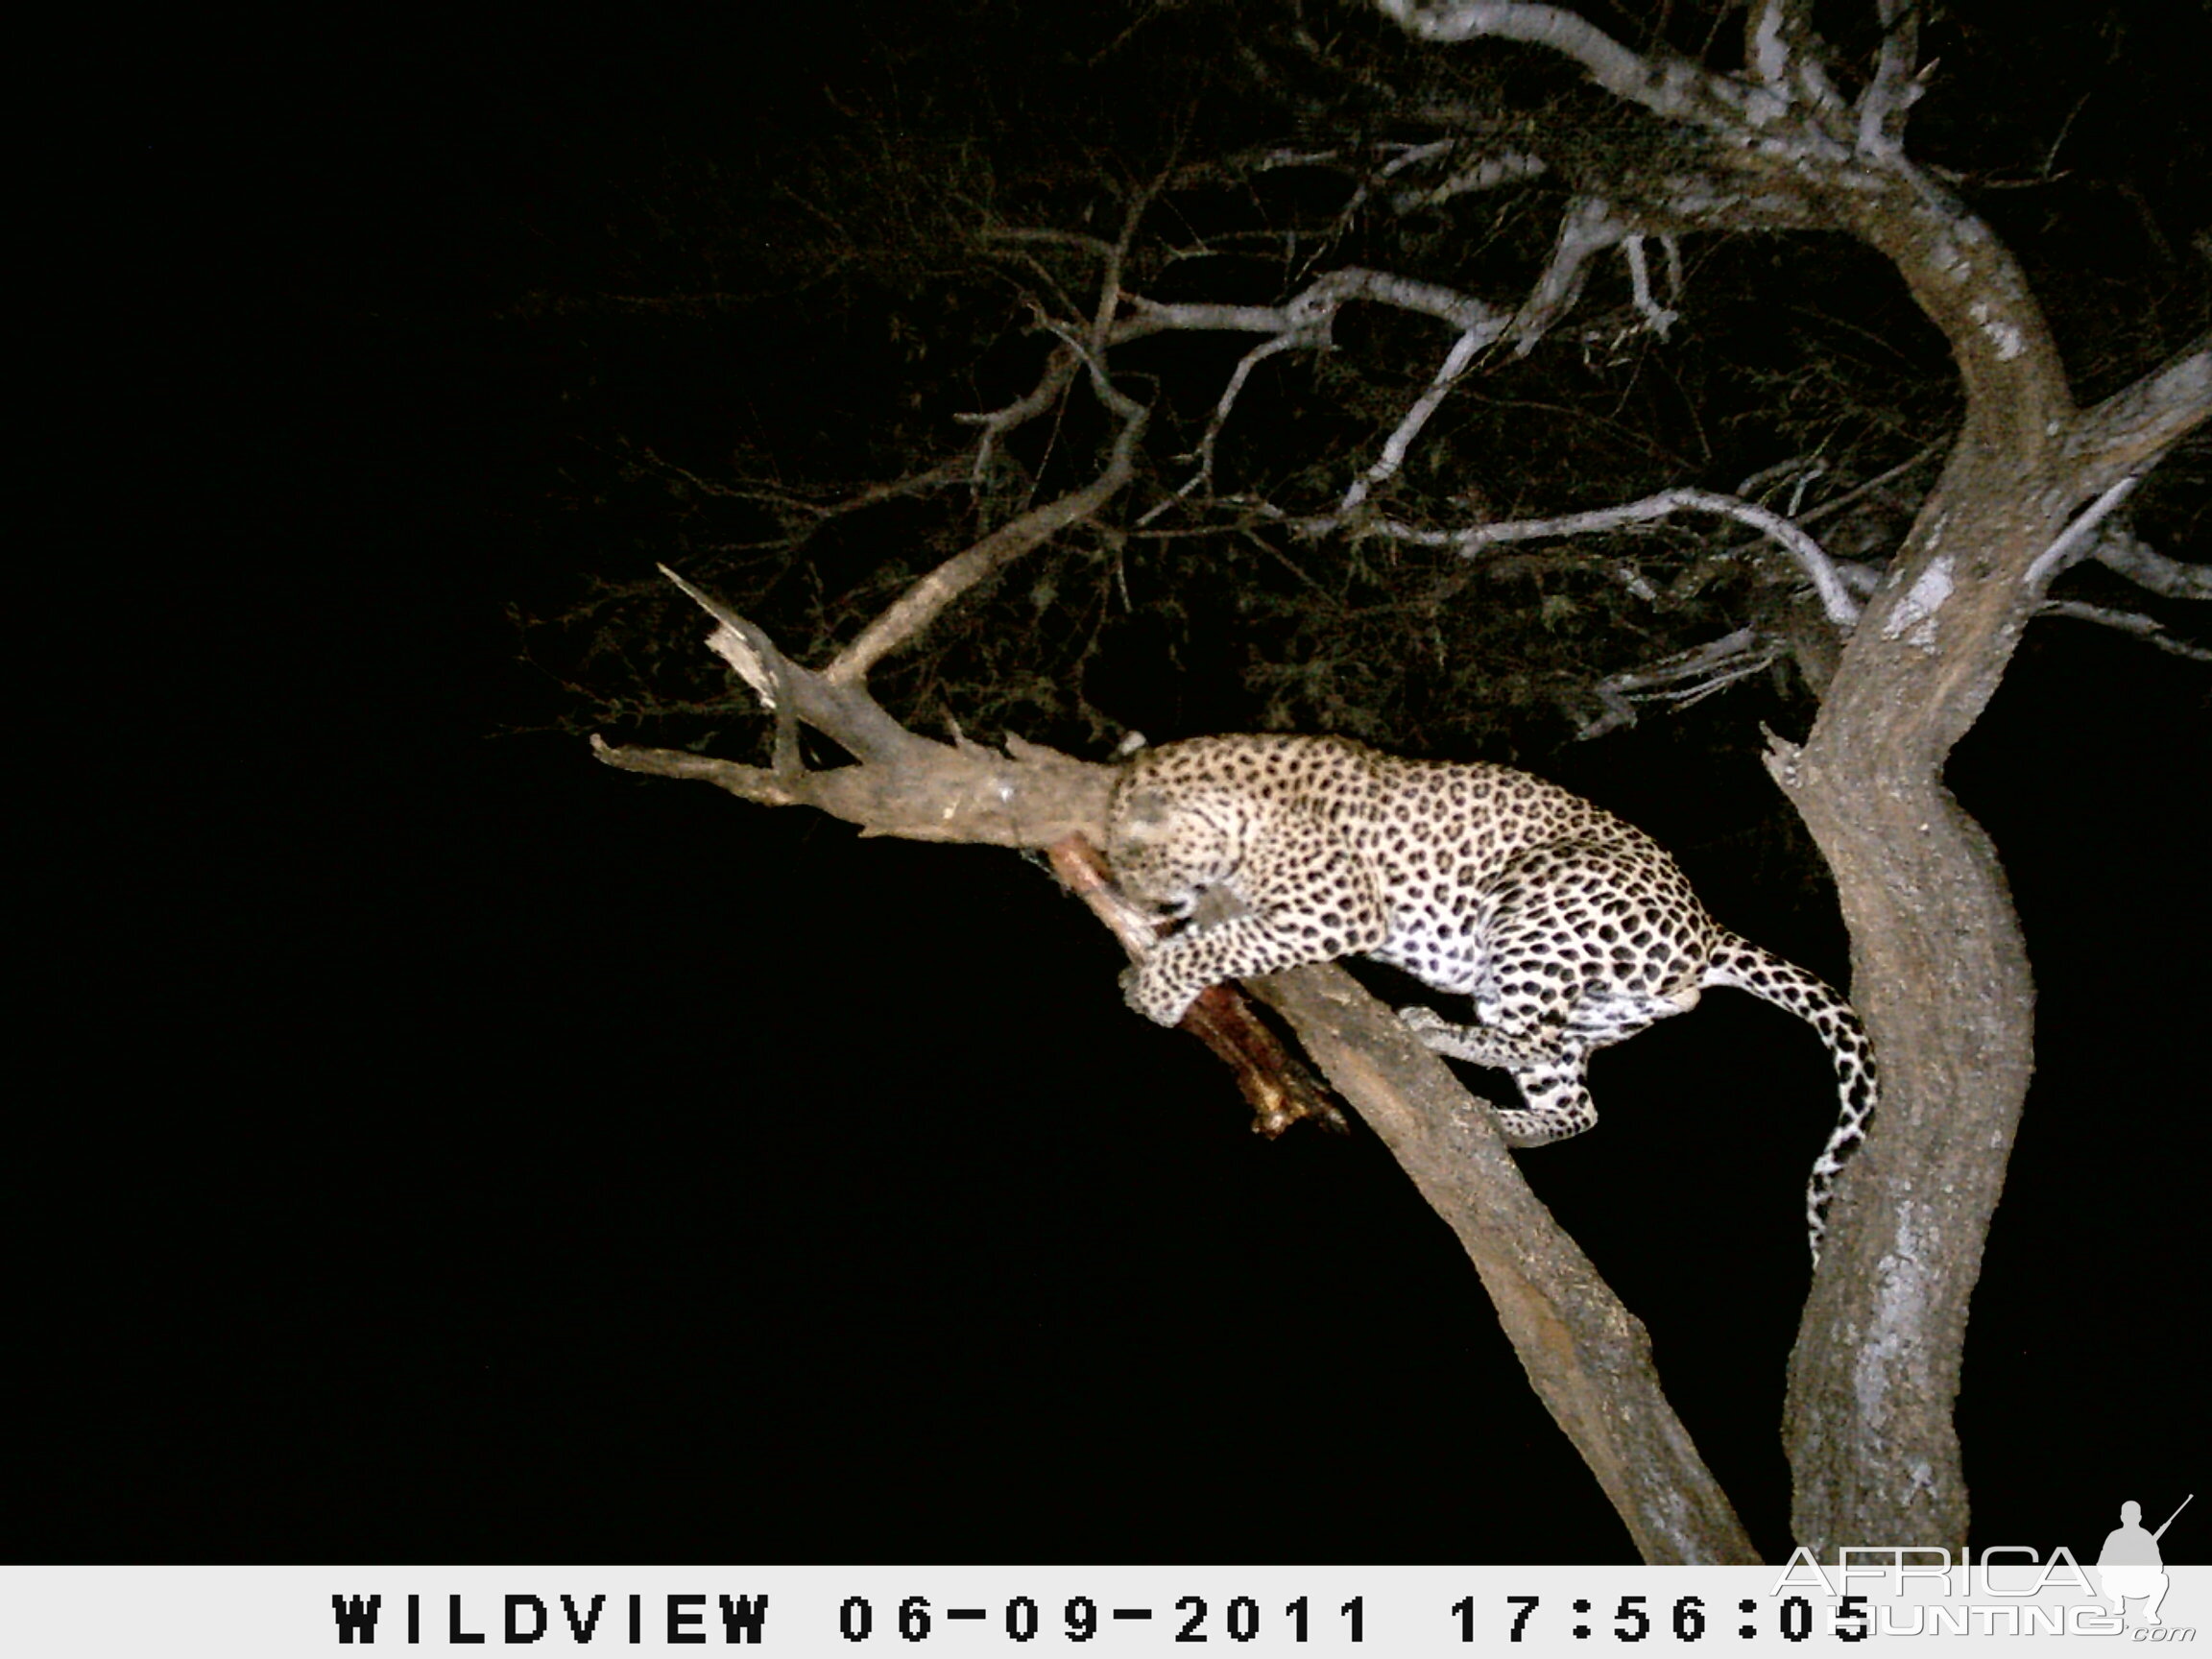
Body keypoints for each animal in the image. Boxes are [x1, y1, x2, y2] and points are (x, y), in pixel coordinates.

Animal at [1115, 733, 1875, 1264]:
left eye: (1130, 857)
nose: (1125, 892)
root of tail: (1709, 927)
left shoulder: (1339, 908)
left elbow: (1235, 941)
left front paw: (1157, 985)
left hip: (1540, 907)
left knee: (1529, 1038)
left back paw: (1432, 1031)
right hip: (1579, 1000)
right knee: (1577, 1101)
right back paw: (1506, 1122)